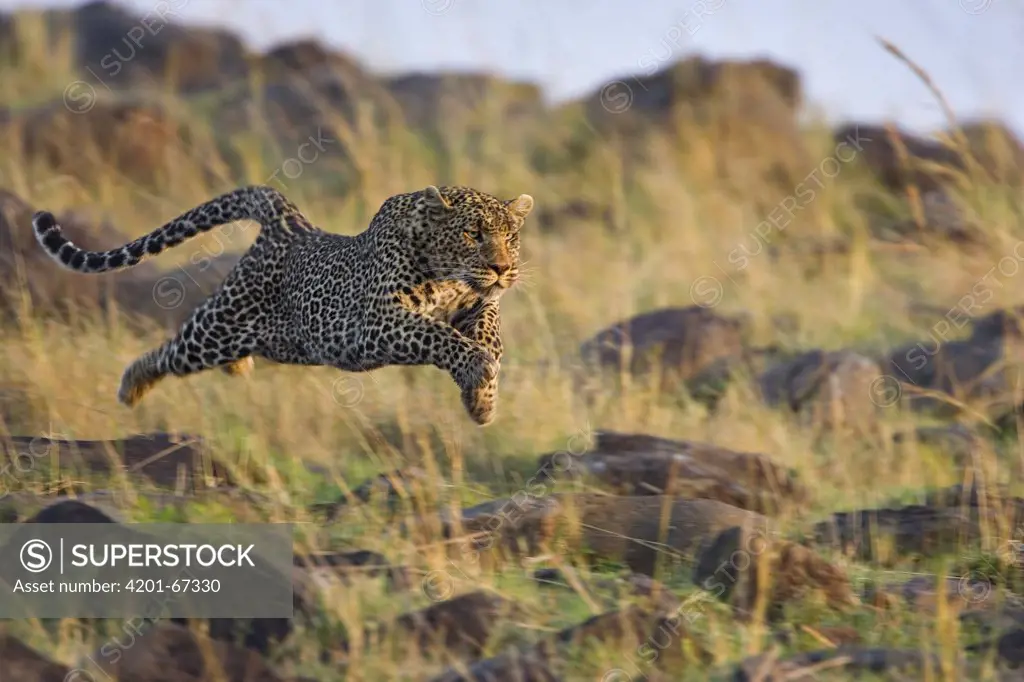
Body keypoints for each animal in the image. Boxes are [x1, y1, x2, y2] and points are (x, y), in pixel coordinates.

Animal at [29, 183, 536, 421]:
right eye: (473, 234)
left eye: (511, 236)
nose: (503, 267)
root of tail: (288, 221)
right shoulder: (377, 321)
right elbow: (435, 334)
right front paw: (476, 367)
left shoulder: (473, 302)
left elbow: (489, 323)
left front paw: (482, 394)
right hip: (218, 328)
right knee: (172, 349)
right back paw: (132, 384)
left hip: (280, 341)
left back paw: (236, 368)